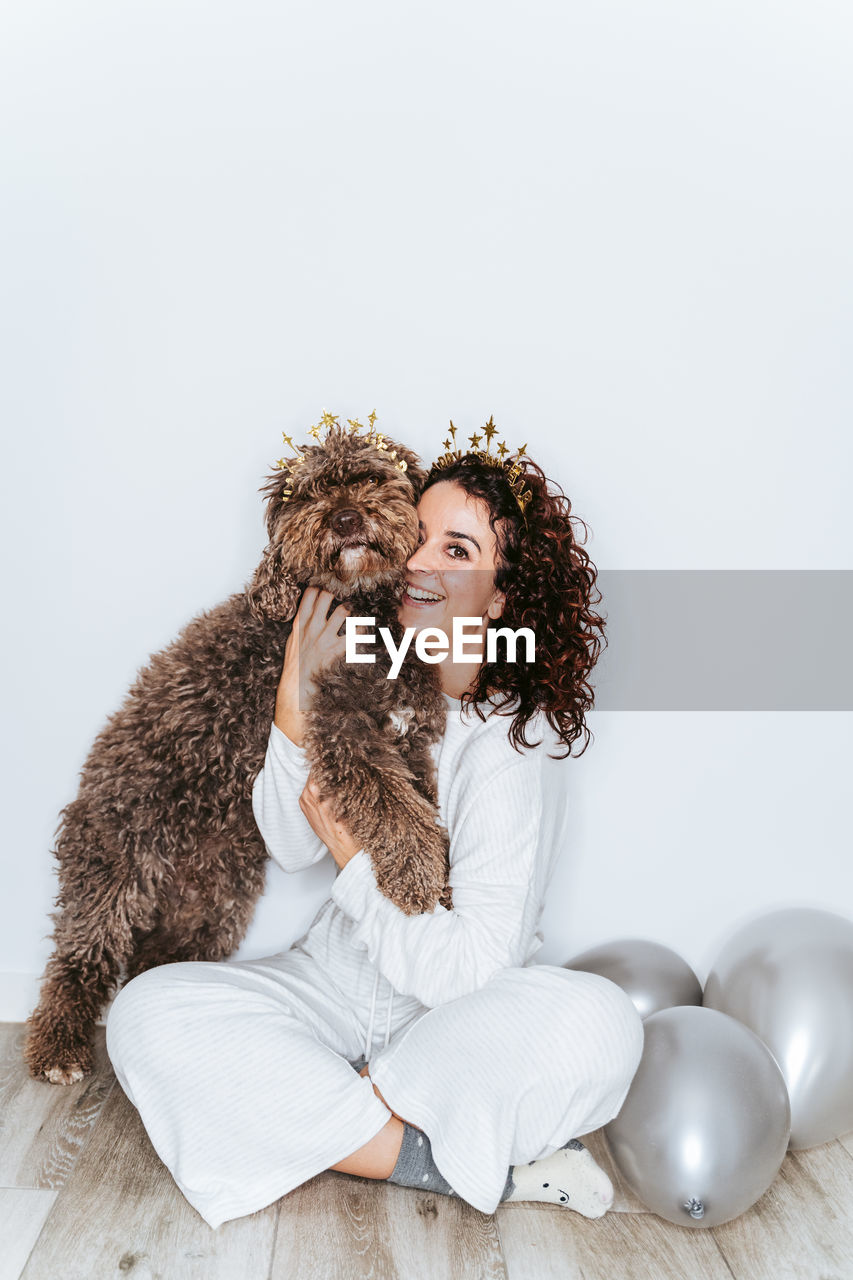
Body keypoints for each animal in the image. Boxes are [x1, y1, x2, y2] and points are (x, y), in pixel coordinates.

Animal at [24, 427, 450, 1080]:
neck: (364, 615)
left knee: (155, 962)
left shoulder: (409, 738)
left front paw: (442, 882)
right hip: (115, 865)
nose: (346, 517)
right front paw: (417, 875)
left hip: (212, 902)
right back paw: (59, 1048)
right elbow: (390, 804)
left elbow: (422, 804)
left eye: (372, 477)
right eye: (309, 493)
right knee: (81, 951)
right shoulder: (341, 733)